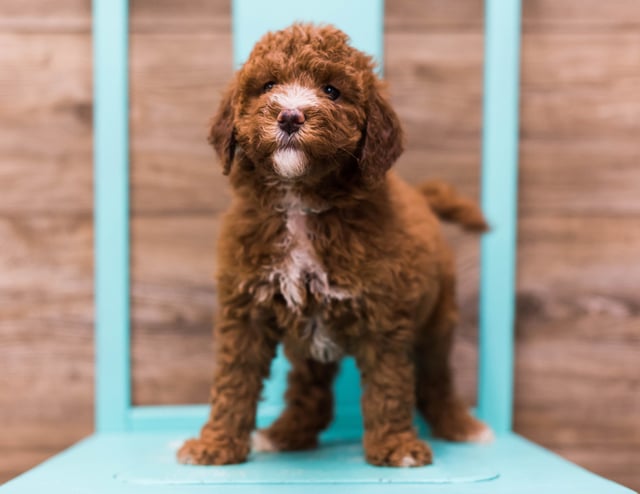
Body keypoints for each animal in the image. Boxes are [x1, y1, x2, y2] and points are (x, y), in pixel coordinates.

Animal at [178, 23, 492, 468]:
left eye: (331, 90)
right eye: (268, 85)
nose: (290, 115)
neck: (300, 202)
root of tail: (423, 198)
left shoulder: (384, 313)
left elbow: (389, 386)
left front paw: (396, 447)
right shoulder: (245, 310)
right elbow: (233, 380)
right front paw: (216, 444)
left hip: (437, 318)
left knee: (436, 377)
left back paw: (461, 426)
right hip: (308, 342)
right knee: (311, 392)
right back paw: (286, 433)